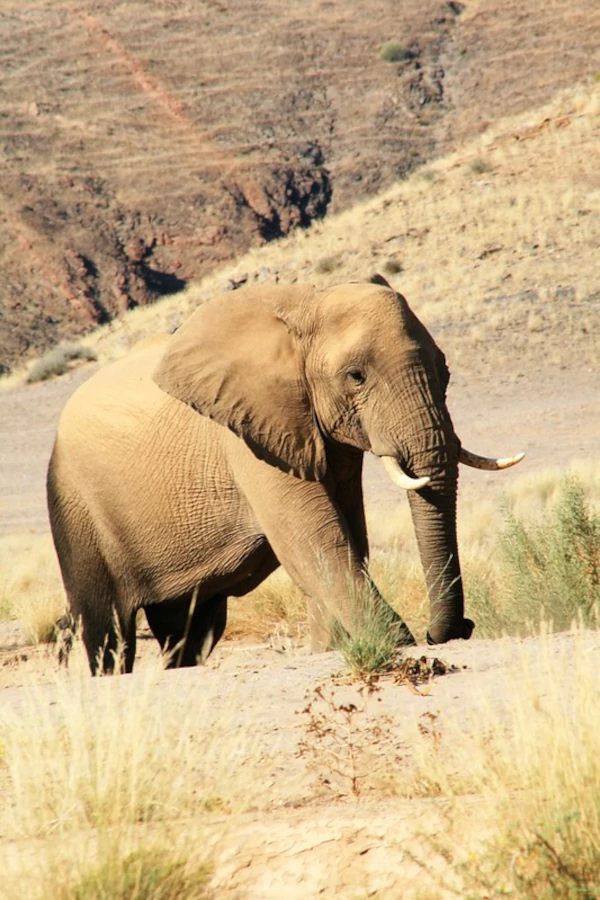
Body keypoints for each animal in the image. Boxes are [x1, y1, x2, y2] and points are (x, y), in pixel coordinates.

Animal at [47, 276, 523, 674]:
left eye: (445, 369)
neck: (306, 307)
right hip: (71, 496)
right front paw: (395, 642)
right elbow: (318, 540)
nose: (453, 631)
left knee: (189, 630)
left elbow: (348, 537)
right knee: (105, 630)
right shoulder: (247, 434)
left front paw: (331, 647)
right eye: (355, 376)